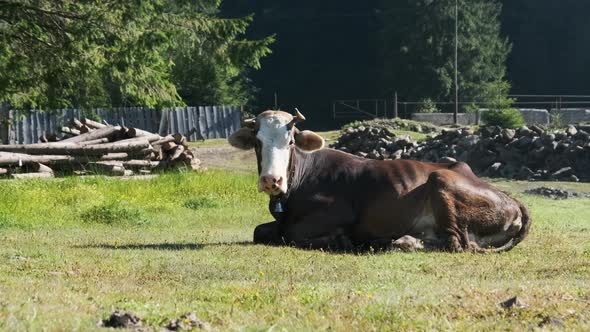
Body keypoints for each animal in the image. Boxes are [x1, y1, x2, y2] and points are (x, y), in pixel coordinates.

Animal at [229, 110, 536, 253]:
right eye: (257, 142)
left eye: (290, 141)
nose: (272, 179)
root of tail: (512, 199)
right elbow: (259, 231)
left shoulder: (339, 213)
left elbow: (291, 235)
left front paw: (340, 240)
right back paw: (404, 241)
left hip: (440, 179)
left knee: (456, 242)